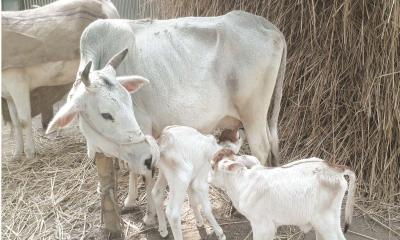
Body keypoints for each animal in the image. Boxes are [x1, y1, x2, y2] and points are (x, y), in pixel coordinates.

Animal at [1, 0, 119, 161]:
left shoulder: (17, 82)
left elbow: (24, 120)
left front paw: (30, 154)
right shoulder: (8, 92)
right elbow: (15, 122)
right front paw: (17, 154)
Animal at [48, 11, 286, 224]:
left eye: (129, 103)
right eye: (106, 114)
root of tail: (270, 27)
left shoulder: (143, 129)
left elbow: (145, 173)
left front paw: (150, 215)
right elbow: (132, 169)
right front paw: (129, 201)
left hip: (253, 113)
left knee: (261, 148)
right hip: (259, 117)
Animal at [209, 154, 356, 240]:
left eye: (211, 166)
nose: (207, 179)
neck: (243, 182)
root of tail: (333, 168)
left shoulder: (262, 225)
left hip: (326, 222)